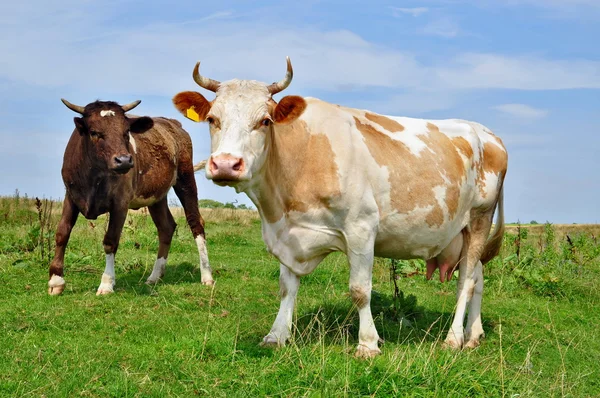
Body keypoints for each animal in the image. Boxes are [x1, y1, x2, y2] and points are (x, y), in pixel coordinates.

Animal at [48, 99, 214, 296]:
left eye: (126, 131)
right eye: (94, 132)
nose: (124, 160)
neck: (94, 177)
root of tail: (173, 123)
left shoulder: (120, 201)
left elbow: (110, 240)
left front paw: (106, 283)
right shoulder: (71, 195)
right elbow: (62, 232)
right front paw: (56, 281)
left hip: (185, 177)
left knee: (195, 222)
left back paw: (206, 275)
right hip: (156, 196)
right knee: (166, 227)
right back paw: (154, 276)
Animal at [172, 56, 506, 358]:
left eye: (265, 121)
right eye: (213, 119)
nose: (225, 164)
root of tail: (488, 134)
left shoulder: (361, 228)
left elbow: (359, 290)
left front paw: (368, 344)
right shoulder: (286, 233)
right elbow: (286, 287)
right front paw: (276, 335)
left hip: (480, 218)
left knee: (466, 281)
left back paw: (453, 338)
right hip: (461, 232)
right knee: (478, 276)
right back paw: (473, 334)